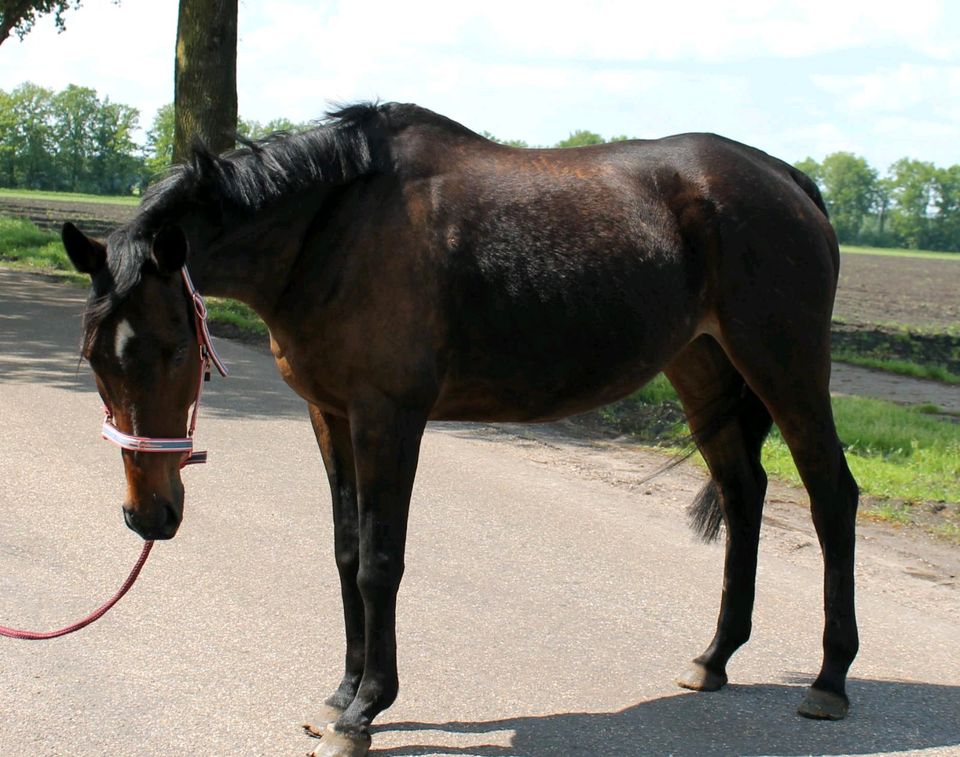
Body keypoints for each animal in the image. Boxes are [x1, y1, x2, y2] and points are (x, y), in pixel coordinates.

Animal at [62, 105, 856, 756]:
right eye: (95, 358)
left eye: (172, 352)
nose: (149, 516)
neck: (334, 232)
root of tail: (788, 179)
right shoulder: (331, 414)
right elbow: (347, 552)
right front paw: (342, 693)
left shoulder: (389, 416)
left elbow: (380, 560)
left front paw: (366, 711)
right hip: (703, 365)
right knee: (744, 492)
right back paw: (715, 657)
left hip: (785, 365)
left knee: (831, 496)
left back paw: (829, 679)